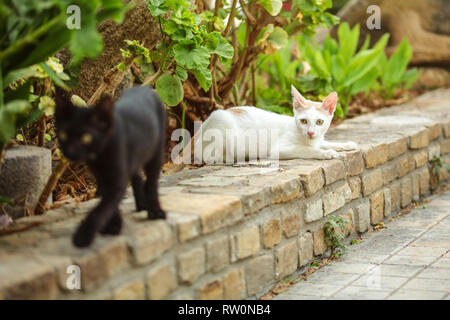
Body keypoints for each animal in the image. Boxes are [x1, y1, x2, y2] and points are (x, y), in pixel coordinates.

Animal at [55, 85, 167, 248]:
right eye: (63, 135)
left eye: (86, 137)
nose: (70, 151)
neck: (100, 157)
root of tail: (142, 87)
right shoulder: (102, 178)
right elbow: (108, 204)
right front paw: (114, 225)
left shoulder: (116, 180)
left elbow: (101, 208)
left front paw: (83, 236)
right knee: (137, 176)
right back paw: (141, 204)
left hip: (156, 151)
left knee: (152, 181)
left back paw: (155, 211)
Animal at [192, 85, 356, 162]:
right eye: (303, 121)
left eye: (320, 122)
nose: (310, 132)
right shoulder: (280, 149)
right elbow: (308, 150)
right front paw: (326, 153)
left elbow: (324, 142)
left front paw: (345, 144)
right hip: (223, 125)